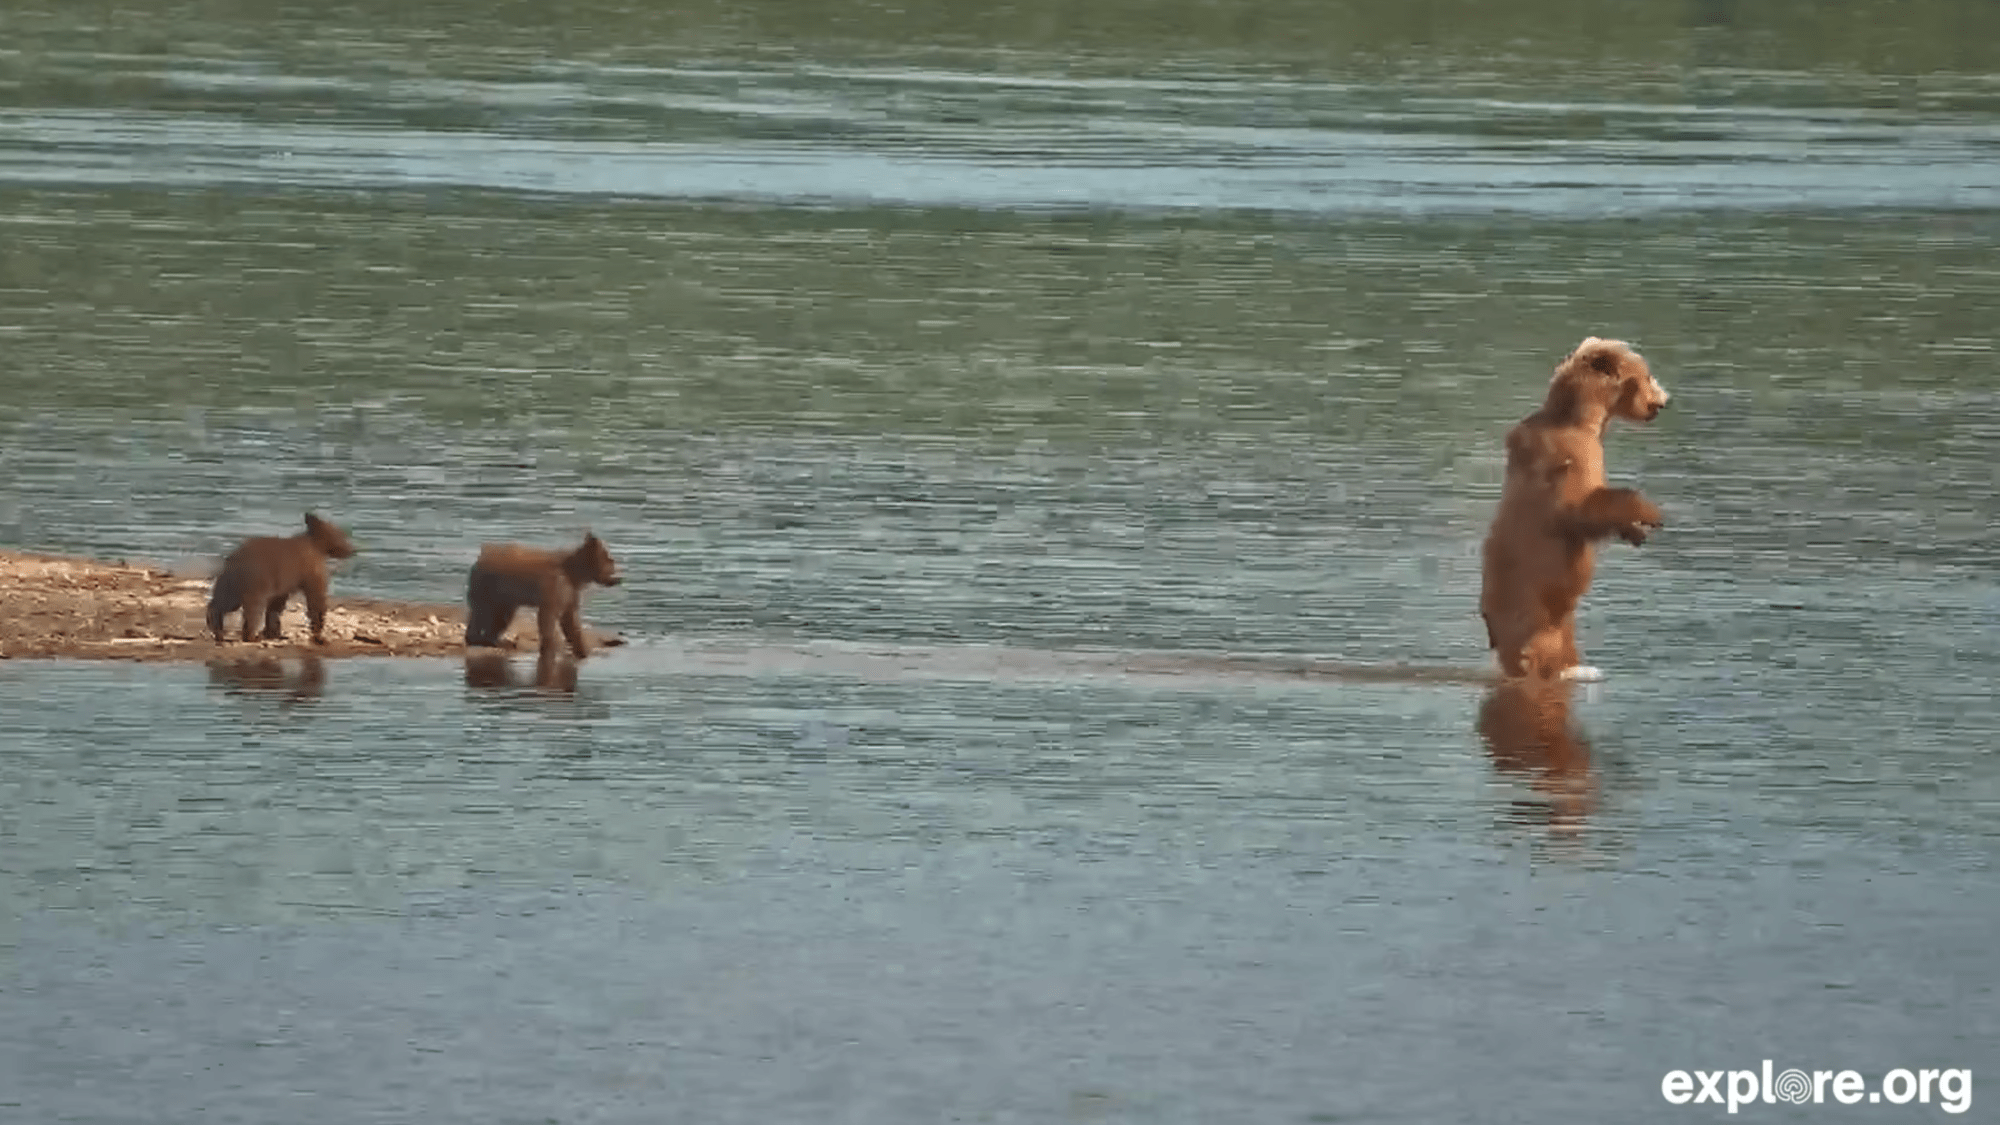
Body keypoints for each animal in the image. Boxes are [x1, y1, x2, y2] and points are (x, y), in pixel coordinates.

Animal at [206, 512, 357, 644]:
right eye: (342, 534)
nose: (353, 550)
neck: (318, 547)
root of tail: (233, 559)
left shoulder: (282, 583)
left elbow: (276, 606)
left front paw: (274, 633)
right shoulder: (310, 569)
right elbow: (316, 598)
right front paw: (320, 636)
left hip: (231, 582)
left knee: (224, 602)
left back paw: (216, 629)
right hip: (255, 581)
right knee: (253, 608)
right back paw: (251, 636)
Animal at [463, 533, 622, 659]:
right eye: (611, 561)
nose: (618, 579)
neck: (576, 575)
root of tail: (480, 556)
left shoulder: (570, 593)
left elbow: (571, 621)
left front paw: (583, 651)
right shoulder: (554, 587)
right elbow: (548, 618)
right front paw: (551, 648)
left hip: (505, 596)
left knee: (501, 617)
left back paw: (496, 641)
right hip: (487, 586)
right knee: (482, 612)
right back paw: (478, 638)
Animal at [1479, 337, 1669, 681]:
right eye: (1647, 375)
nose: (1663, 401)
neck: (1584, 417)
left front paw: (1636, 530)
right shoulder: (1571, 456)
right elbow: (1582, 508)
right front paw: (1649, 514)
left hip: (1560, 625)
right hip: (1525, 608)